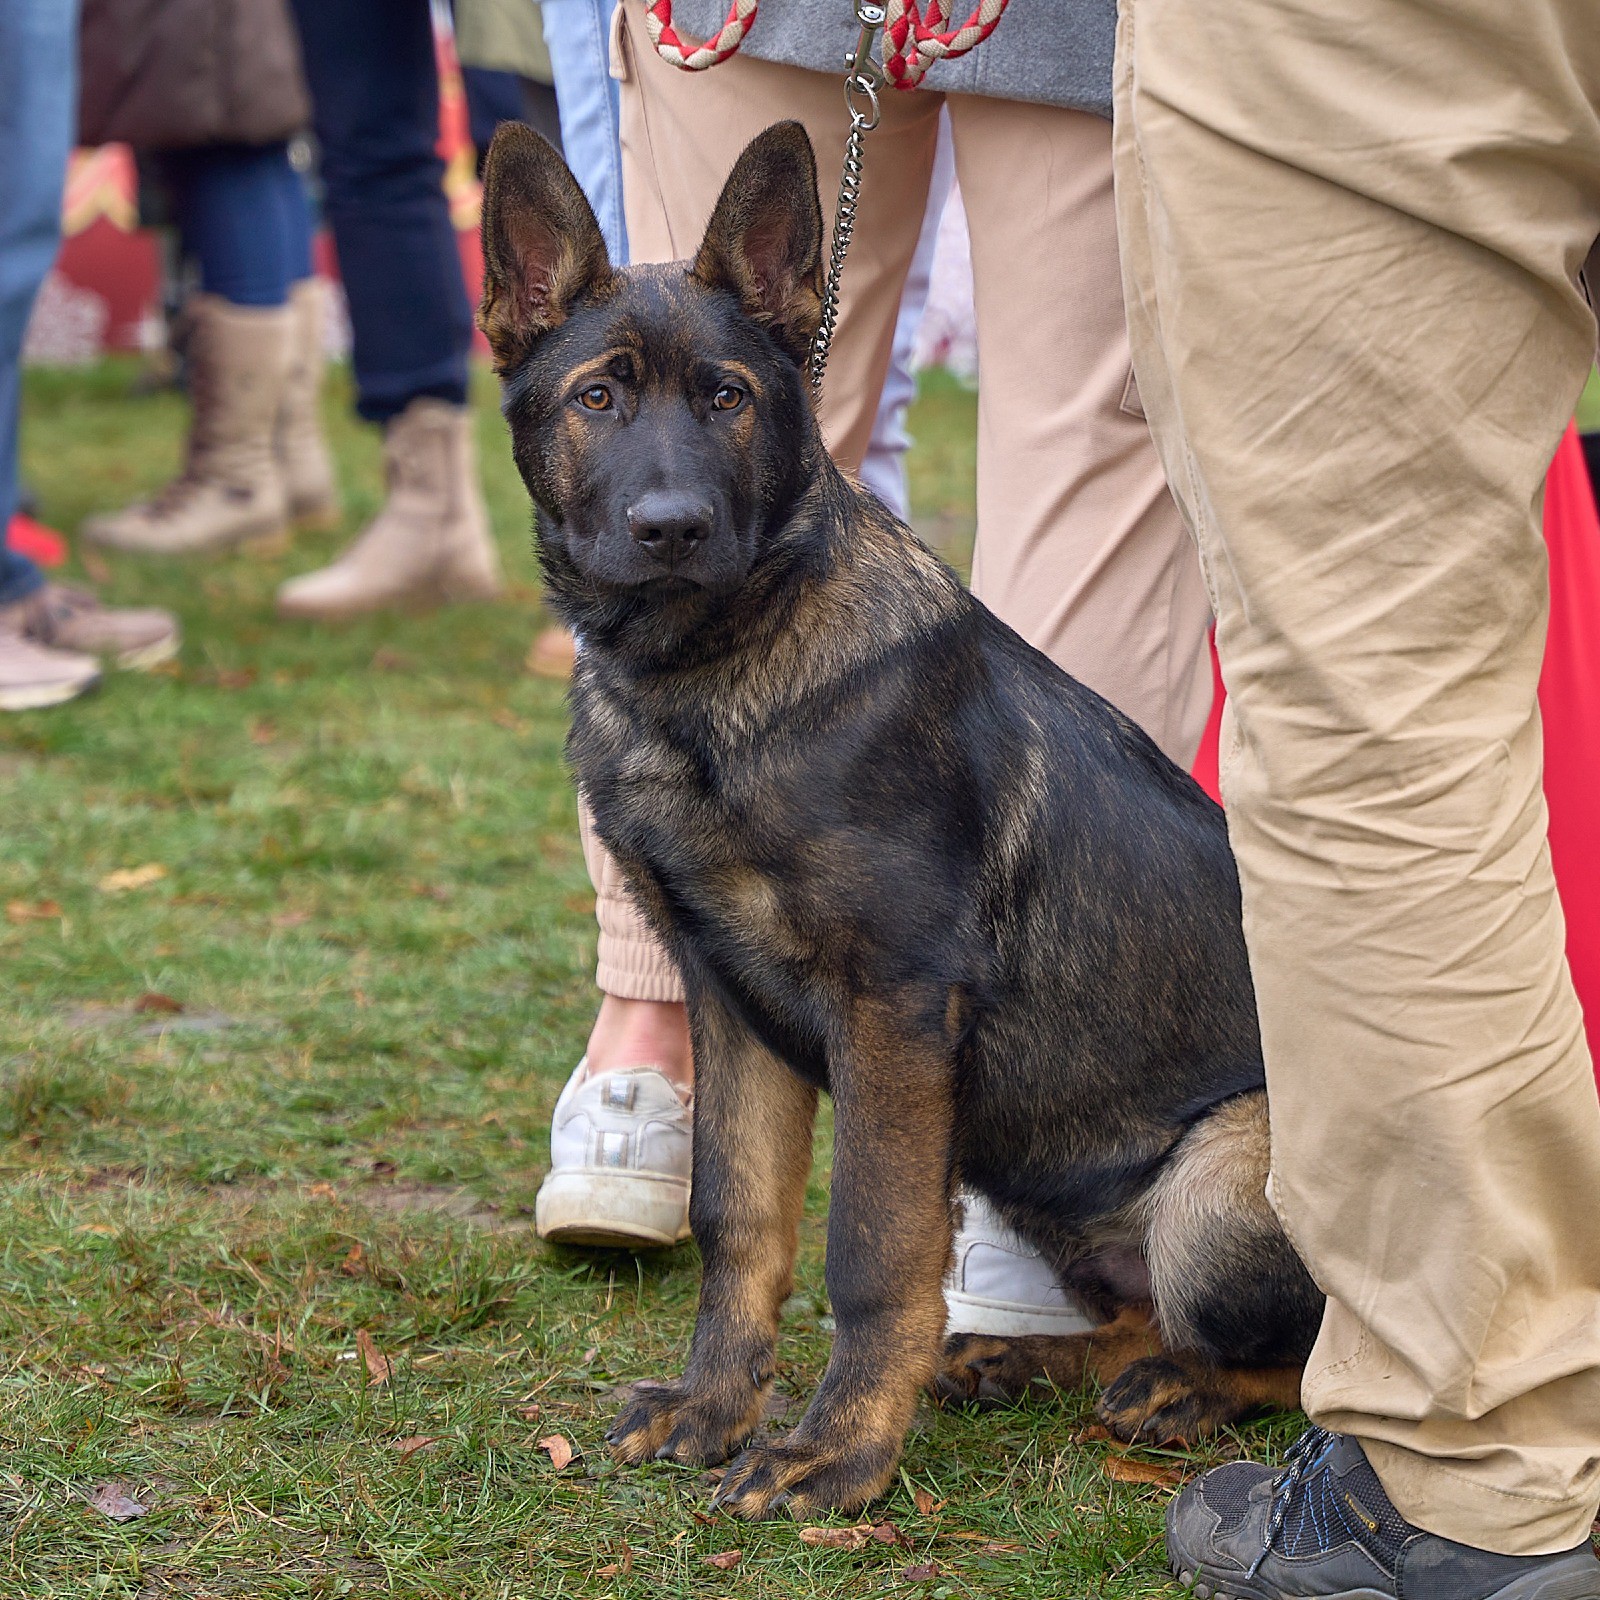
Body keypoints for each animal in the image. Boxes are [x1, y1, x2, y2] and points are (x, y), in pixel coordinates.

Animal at [476, 118, 1324, 1516]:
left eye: (728, 397)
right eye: (596, 398)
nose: (670, 530)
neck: (713, 675)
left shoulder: (890, 1008)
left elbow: (870, 1249)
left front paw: (840, 1452)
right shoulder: (728, 999)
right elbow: (738, 1219)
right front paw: (714, 1407)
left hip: (1211, 1181)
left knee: (1299, 1355)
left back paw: (1182, 1392)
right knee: (1136, 1314)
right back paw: (1023, 1359)